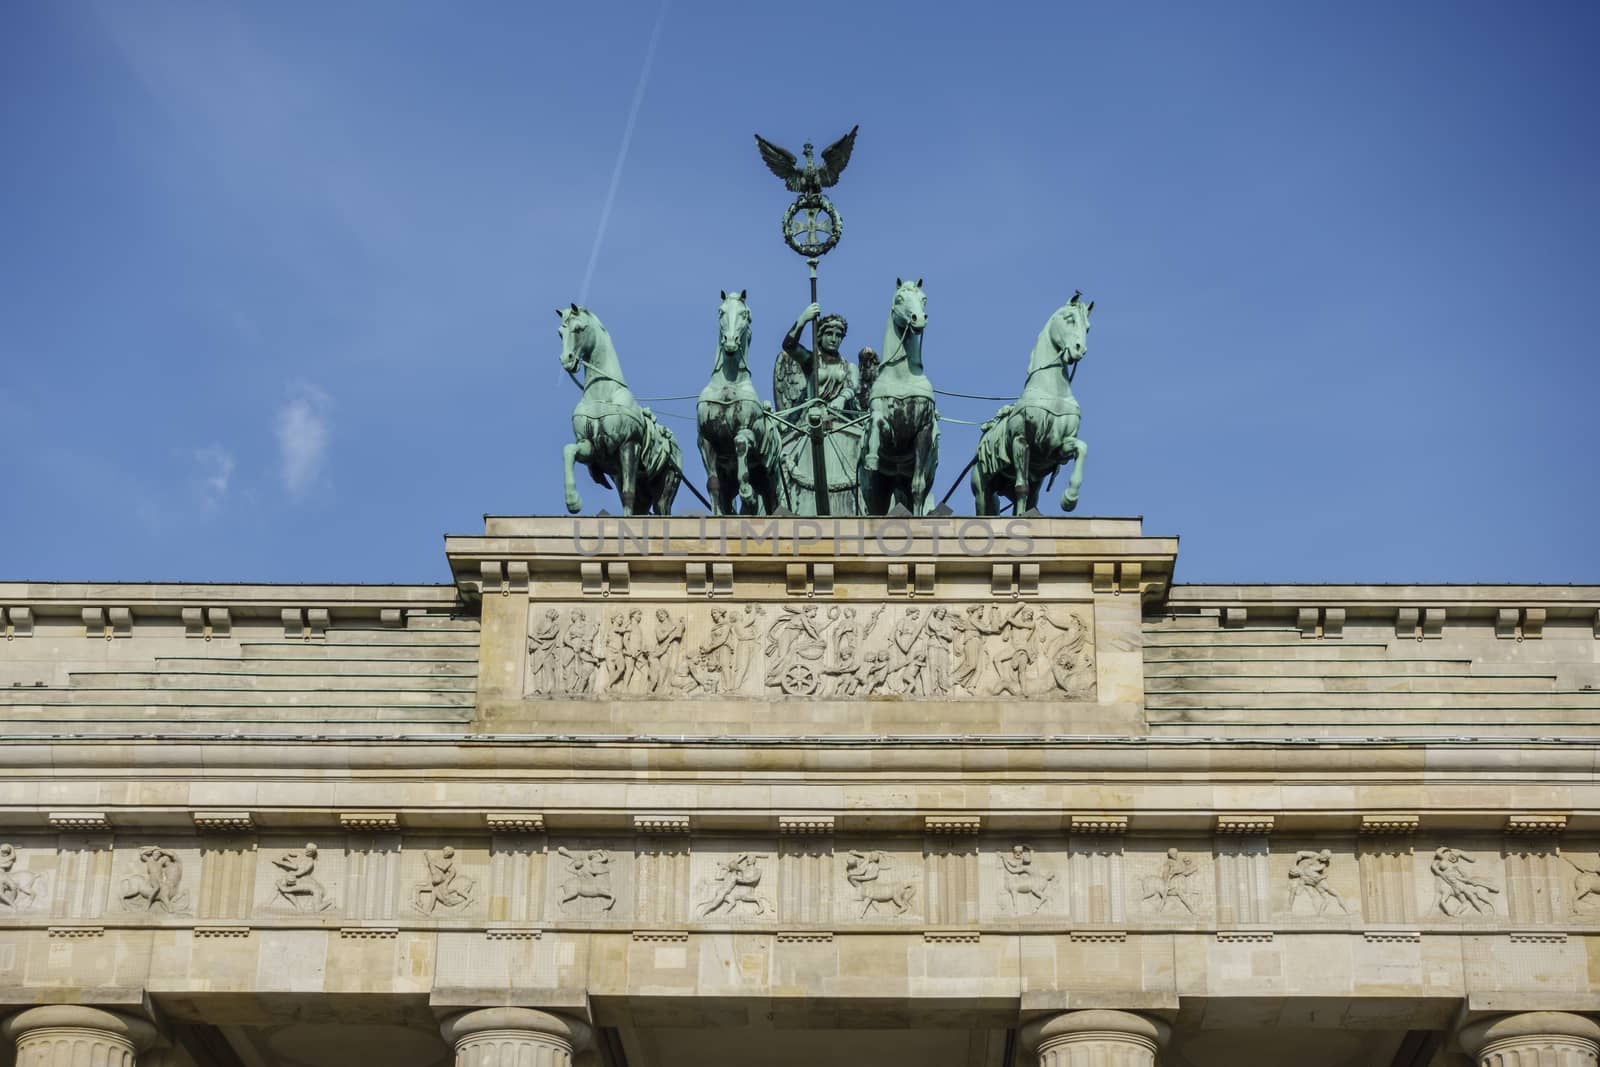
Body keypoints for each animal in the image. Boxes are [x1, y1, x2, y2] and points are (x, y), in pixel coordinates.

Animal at [556, 303, 681, 518]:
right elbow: (569, 450)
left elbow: (628, 492)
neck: (602, 394)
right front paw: (573, 501)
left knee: (660, 507)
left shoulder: (629, 445)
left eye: (579, 329)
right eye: (560, 333)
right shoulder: (589, 446)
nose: (567, 360)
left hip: (665, 488)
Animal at [694, 287, 780, 511]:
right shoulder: (705, 441)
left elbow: (740, 443)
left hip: (770, 478)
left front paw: (747, 493)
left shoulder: (746, 430)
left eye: (745, 314)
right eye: (721, 311)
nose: (730, 341)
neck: (728, 384)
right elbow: (712, 484)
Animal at [864, 278, 934, 515]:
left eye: (924, 299)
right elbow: (877, 422)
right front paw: (871, 455)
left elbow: (918, 486)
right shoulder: (889, 429)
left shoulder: (924, 429)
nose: (918, 319)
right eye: (899, 298)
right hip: (880, 484)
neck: (902, 377)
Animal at [966, 294, 1094, 515]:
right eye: (1069, 318)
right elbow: (1021, 487)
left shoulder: (1057, 447)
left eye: (1087, 328)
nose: (1080, 350)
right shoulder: (1021, 440)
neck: (1051, 392)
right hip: (982, 490)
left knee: (1031, 499)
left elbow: (1082, 448)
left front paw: (1070, 498)